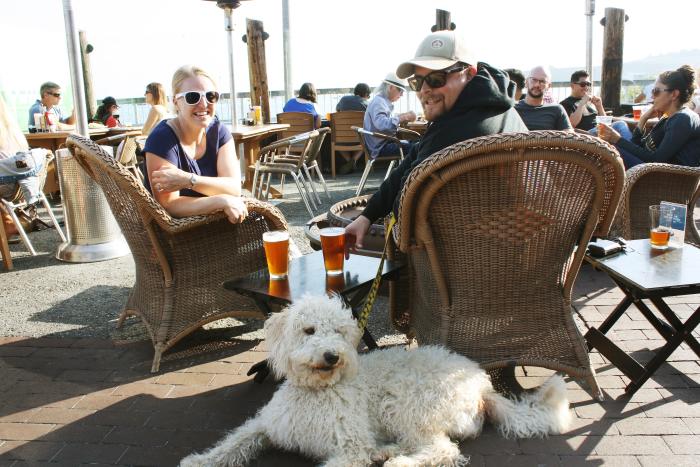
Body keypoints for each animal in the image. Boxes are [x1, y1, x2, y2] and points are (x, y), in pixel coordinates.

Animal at [180, 298, 568, 466]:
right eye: (309, 330)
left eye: (339, 331)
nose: (333, 356)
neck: (317, 392)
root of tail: (483, 386)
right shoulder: (265, 425)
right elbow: (234, 442)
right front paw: (199, 460)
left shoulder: (349, 448)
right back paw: (387, 451)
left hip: (408, 405)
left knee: (443, 450)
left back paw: (399, 462)